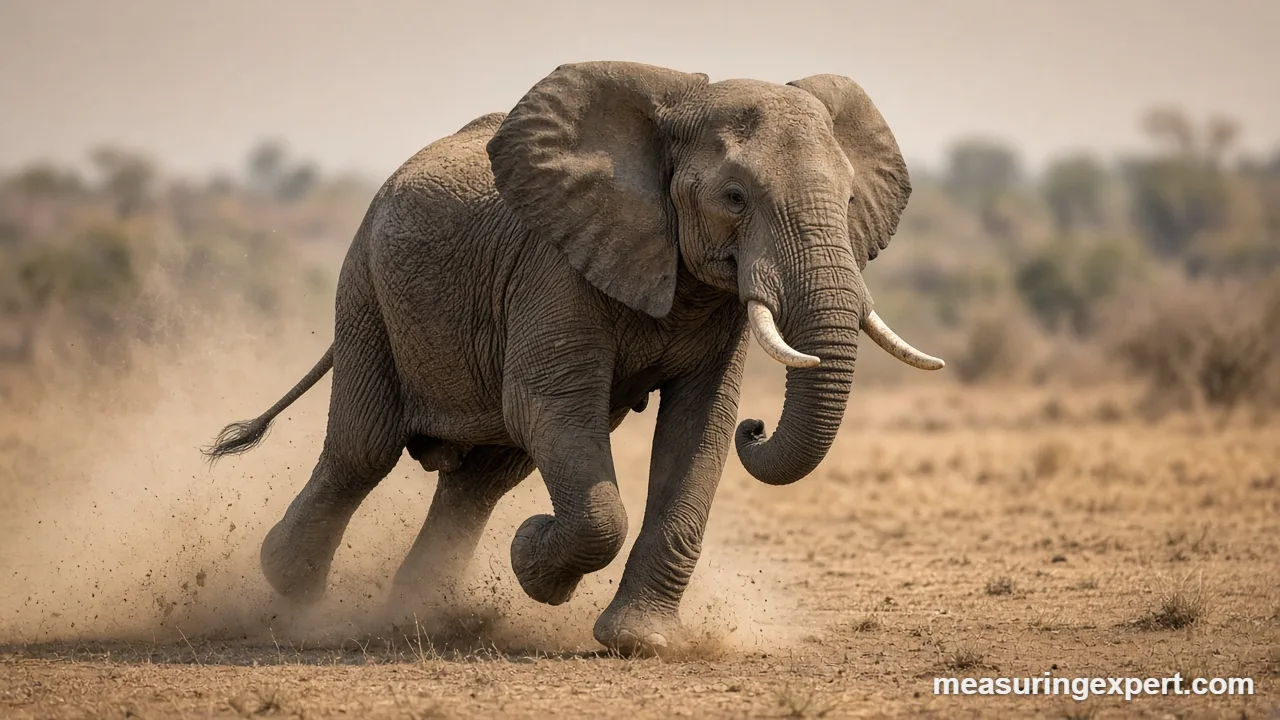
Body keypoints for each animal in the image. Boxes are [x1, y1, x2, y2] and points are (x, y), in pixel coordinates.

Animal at [203, 61, 944, 656]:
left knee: (482, 478)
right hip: (365, 290)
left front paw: (639, 642)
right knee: (365, 449)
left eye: (850, 201)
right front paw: (533, 558)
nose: (758, 430)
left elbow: (699, 427)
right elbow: (550, 407)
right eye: (734, 198)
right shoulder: (555, 268)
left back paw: (419, 620)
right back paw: (291, 585)